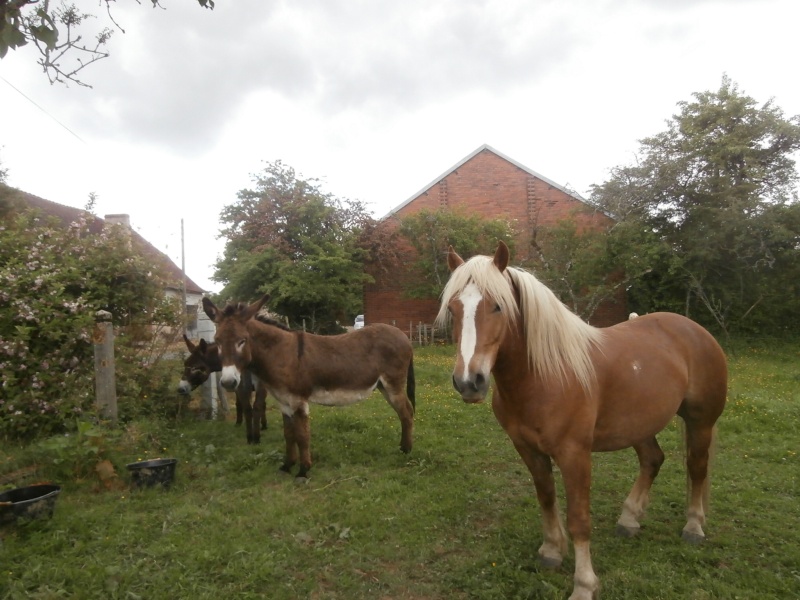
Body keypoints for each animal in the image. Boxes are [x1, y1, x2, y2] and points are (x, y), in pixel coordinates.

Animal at [203, 296, 416, 478]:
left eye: (242, 341)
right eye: (218, 341)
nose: (228, 383)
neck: (280, 354)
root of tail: (403, 336)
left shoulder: (298, 401)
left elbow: (302, 436)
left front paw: (303, 470)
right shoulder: (284, 402)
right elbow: (289, 435)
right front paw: (287, 465)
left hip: (393, 385)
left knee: (406, 412)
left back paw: (406, 450)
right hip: (383, 386)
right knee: (404, 413)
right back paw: (403, 447)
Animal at [438, 243, 724, 600]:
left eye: (497, 306)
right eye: (453, 309)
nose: (469, 382)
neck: (546, 374)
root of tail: (694, 329)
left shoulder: (574, 454)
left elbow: (578, 519)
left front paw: (584, 584)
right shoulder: (528, 449)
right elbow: (547, 498)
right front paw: (551, 551)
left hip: (701, 421)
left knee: (696, 468)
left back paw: (694, 526)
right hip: (640, 425)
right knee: (652, 460)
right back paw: (629, 519)